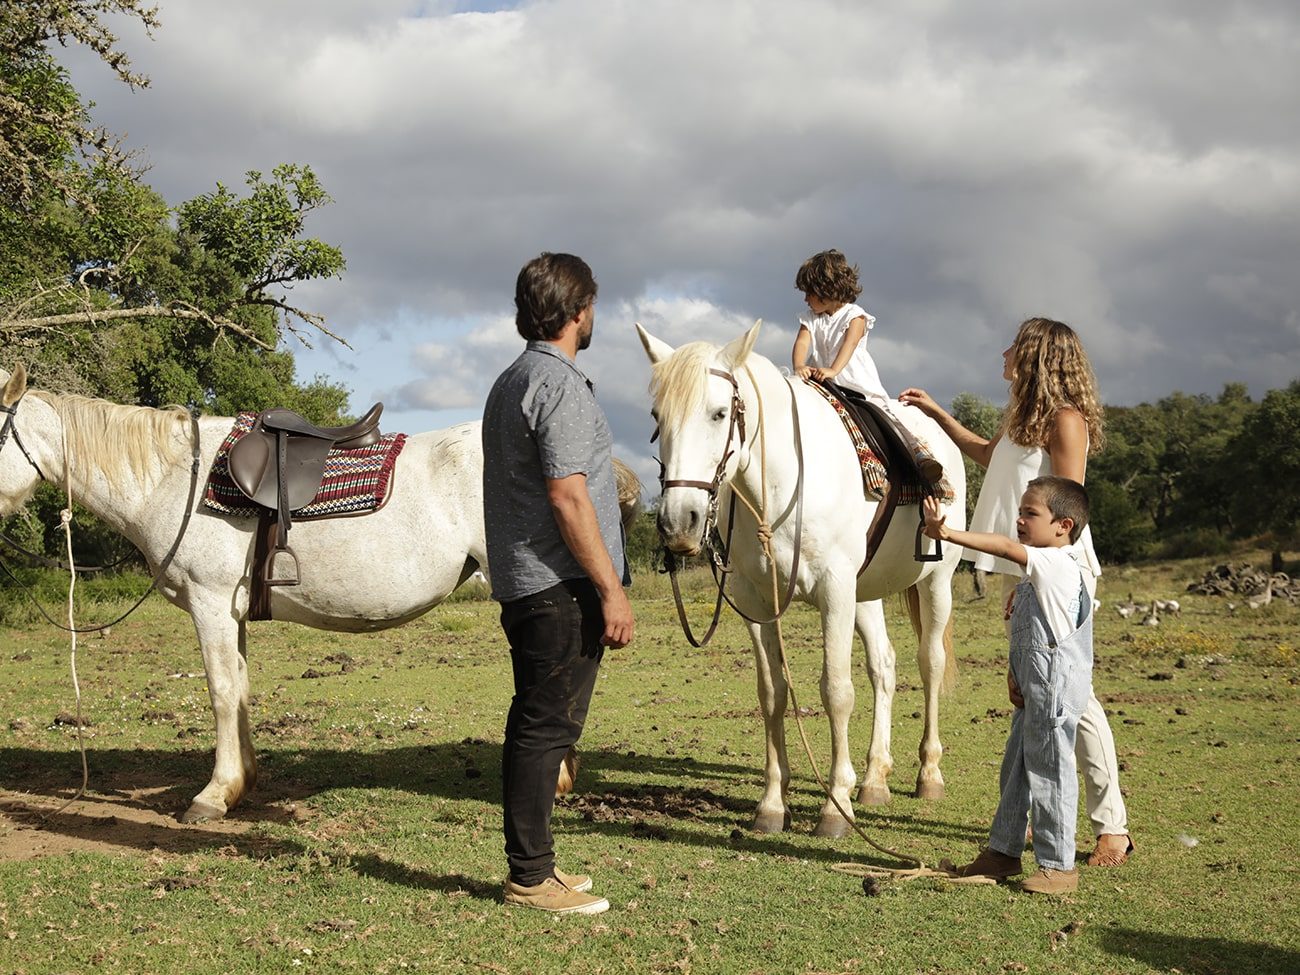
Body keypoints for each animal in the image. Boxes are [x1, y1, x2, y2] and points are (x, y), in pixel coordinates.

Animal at [0, 366, 488, 826]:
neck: (173, 482)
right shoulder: (231, 615)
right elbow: (240, 690)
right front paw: (240, 784)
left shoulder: (210, 604)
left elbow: (220, 692)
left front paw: (213, 796)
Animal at [639, 322, 967, 842]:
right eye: (658, 416)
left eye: (718, 413)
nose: (678, 524)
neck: (778, 487)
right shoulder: (756, 601)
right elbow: (772, 693)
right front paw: (773, 804)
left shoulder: (834, 591)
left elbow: (836, 691)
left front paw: (835, 808)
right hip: (864, 593)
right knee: (884, 666)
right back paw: (874, 779)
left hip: (936, 581)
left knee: (929, 663)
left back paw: (927, 775)